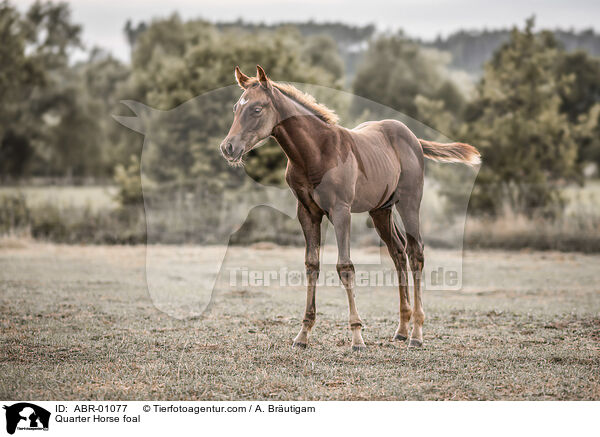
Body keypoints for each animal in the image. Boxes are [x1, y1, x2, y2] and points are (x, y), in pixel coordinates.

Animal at [219, 64, 478, 350]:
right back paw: (401, 329)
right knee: (398, 252)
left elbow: (345, 267)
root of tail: (414, 139)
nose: (228, 147)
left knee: (415, 252)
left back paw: (417, 333)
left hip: (410, 202)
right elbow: (312, 265)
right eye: (235, 108)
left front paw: (357, 336)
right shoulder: (307, 212)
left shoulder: (341, 211)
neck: (316, 153)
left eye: (256, 109)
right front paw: (303, 334)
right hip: (381, 210)